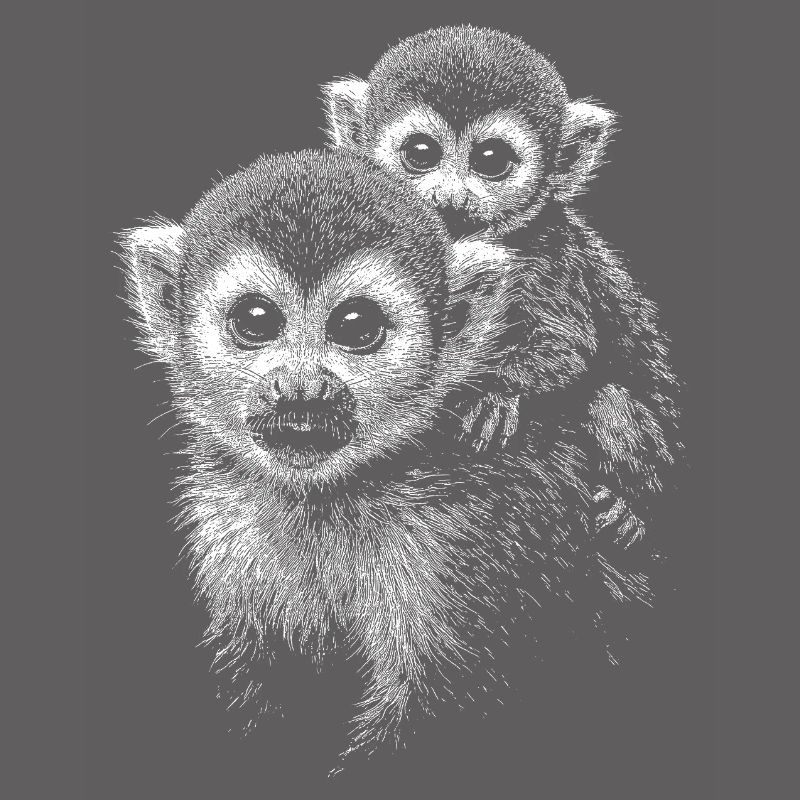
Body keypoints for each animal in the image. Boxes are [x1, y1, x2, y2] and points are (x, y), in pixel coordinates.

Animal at [119, 148, 633, 769]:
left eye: (356, 326)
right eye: (256, 320)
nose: (301, 389)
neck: (331, 497)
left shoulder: (472, 533)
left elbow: (442, 706)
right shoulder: (231, 524)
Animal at [321, 25, 683, 554]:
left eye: (491, 160)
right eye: (420, 154)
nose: (450, 198)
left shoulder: (546, 252)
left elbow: (568, 346)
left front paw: (496, 393)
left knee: (609, 401)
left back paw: (631, 509)